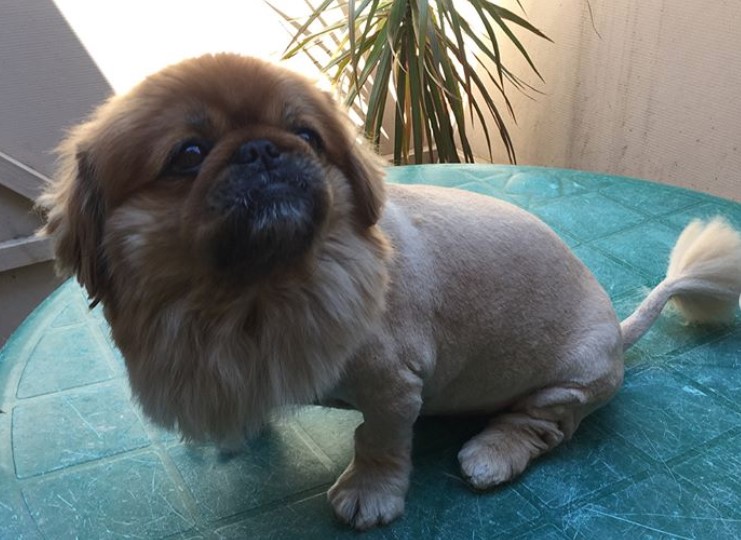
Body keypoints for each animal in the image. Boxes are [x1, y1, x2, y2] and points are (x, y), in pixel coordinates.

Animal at [37, 56, 740, 532]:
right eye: (187, 153)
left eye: (307, 135)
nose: (264, 149)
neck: (256, 295)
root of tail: (618, 329)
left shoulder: (393, 386)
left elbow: (375, 442)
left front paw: (370, 496)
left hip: (568, 383)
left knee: (543, 427)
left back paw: (492, 453)